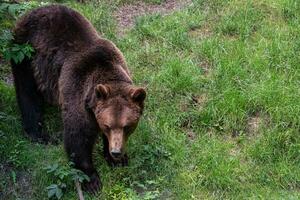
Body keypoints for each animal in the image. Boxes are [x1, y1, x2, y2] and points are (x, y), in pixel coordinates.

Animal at [12, 4, 146, 192]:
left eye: (127, 126)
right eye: (107, 125)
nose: (116, 151)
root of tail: (32, 11)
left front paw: (118, 160)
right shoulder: (77, 91)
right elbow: (78, 136)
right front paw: (92, 180)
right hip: (25, 53)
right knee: (27, 93)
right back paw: (40, 134)